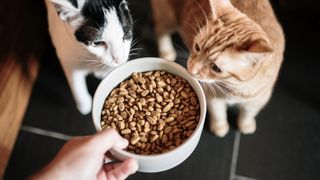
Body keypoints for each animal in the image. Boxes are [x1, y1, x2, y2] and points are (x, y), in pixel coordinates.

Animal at [151, 0, 284, 136]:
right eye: (197, 47)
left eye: (216, 68)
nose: (191, 69)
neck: (234, 88)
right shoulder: (211, 96)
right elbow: (218, 113)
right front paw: (220, 128)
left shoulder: (259, 99)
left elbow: (248, 113)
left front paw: (246, 125)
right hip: (168, 17)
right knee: (160, 30)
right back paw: (166, 51)